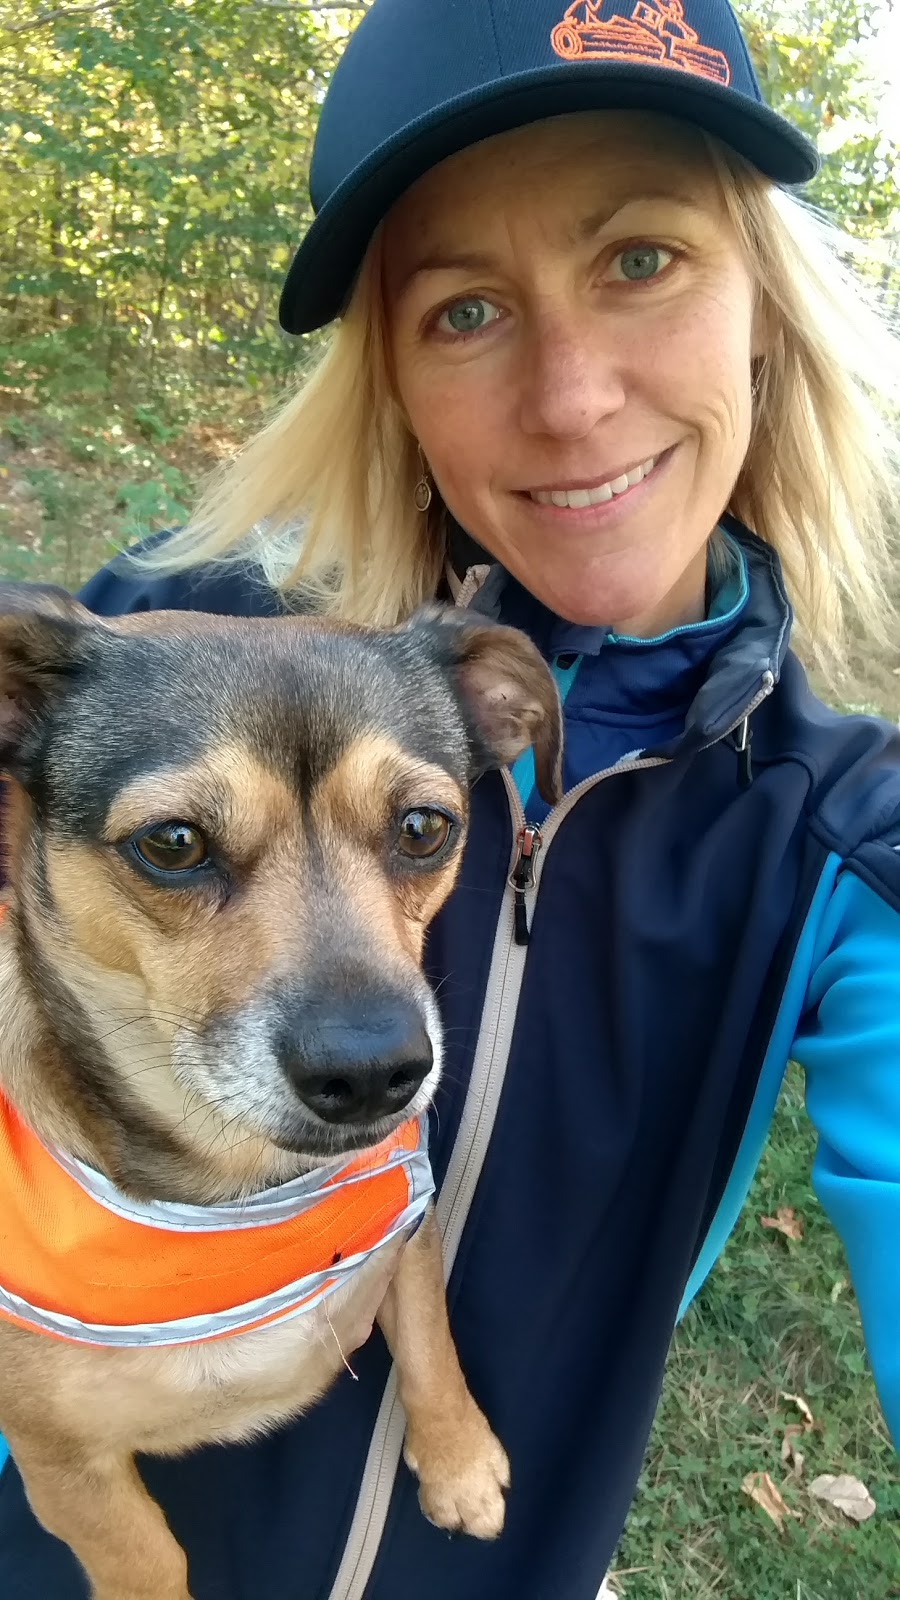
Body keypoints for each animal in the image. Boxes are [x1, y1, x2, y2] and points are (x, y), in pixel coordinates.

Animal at [0, 581, 562, 1600]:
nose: (373, 1071)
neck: (251, 1194)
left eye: (424, 827)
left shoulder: (410, 1223)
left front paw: (460, 1462)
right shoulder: (66, 1468)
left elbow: (431, 1336)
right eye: (174, 843)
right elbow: (147, 1564)